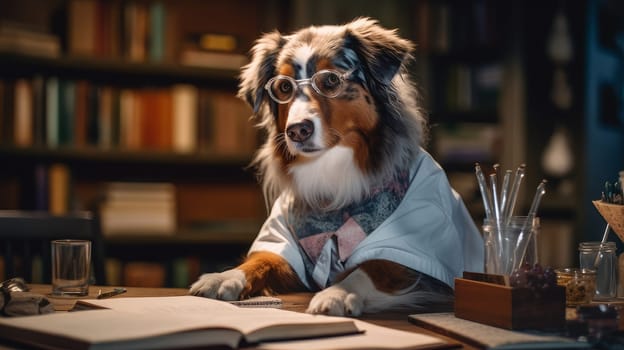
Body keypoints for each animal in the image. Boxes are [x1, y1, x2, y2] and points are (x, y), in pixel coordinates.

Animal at [190, 17, 482, 318]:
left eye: (330, 80)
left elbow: (370, 267)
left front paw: (338, 293)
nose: (297, 131)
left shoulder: (408, 248)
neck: (331, 169)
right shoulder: (284, 242)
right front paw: (225, 276)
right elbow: (262, 259)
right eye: (283, 87)